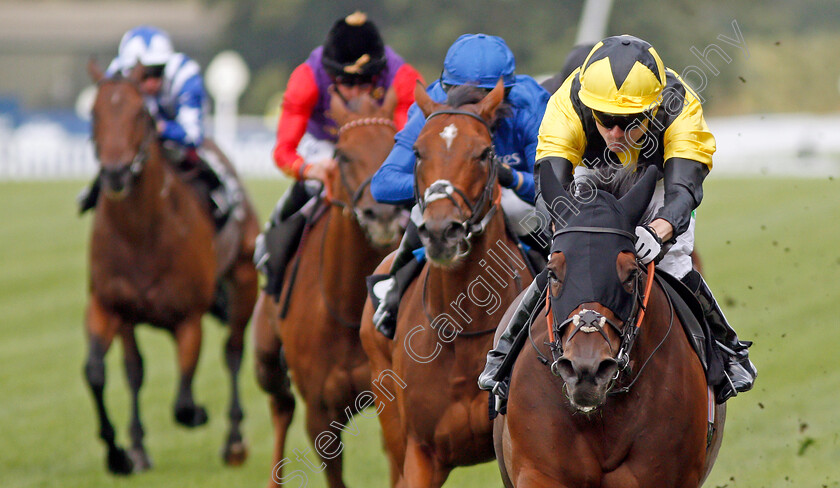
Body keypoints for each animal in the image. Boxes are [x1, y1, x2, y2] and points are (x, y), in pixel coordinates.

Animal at [83, 63, 260, 474]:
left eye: (140, 114)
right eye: (94, 113)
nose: (115, 174)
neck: (140, 234)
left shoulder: (188, 317)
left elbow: (182, 403)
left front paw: (198, 413)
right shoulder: (109, 306)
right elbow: (100, 373)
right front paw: (120, 453)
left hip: (245, 279)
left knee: (233, 352)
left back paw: (234, 441)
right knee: (134, 370)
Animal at [251, 88, 406, 488]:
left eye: (394, 147)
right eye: (343, 154)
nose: (383, 215)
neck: (346, 304)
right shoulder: (320, 412)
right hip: (265, 360)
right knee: (281, 406)